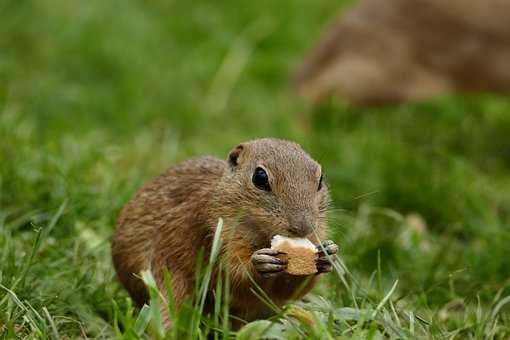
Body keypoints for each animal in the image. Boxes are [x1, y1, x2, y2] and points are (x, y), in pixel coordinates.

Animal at [113, 137, 340, 326]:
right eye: (260, 177)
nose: (303, 227)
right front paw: (260, 263)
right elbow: (230, 276)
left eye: (321, 178)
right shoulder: (209, 234)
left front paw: (327, 255)